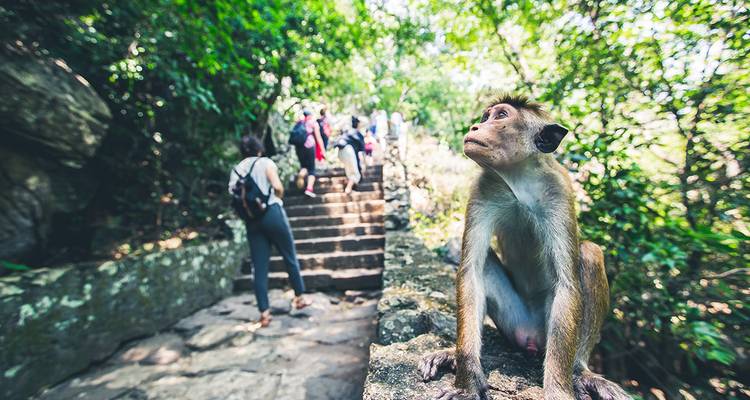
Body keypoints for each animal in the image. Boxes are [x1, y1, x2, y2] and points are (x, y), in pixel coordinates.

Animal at [419, 95, 631, 400]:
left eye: (501, 116)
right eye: (485, 117)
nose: (474, 127)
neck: (518, 178)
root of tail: (531, 338)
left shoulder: (559, 191)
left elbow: (567, 284)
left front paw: (558, 390)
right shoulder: (483, 188)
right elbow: (470, 272)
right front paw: (467, 383)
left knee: (590, 253)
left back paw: (581, 371)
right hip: (514, 320)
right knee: (483, 266)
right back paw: (453, 353)